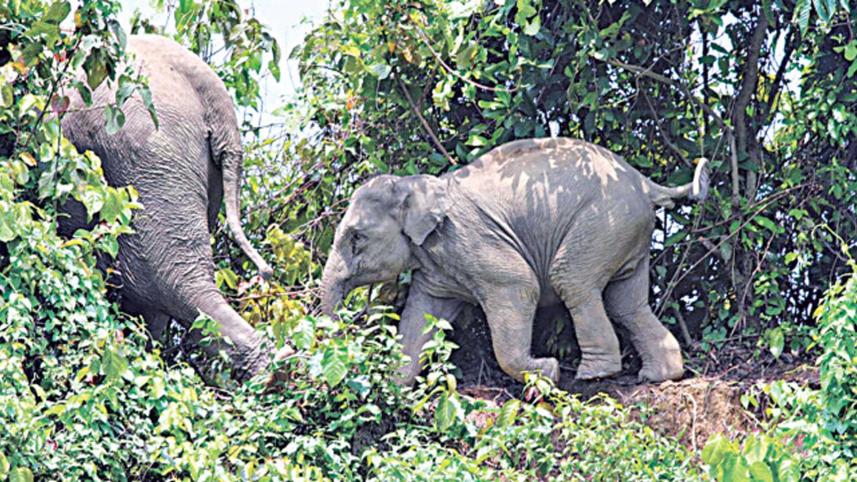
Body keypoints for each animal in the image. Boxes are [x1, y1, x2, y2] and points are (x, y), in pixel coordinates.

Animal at [320, 137, 709, 385]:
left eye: (356, 237)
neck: (415, 185)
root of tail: (645, 183)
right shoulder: (437, 265)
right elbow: (423, 315)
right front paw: (396, 387)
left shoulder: (468, 240)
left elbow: (519, 285)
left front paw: (547, 371)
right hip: (627, 230)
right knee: (627, 302)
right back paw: (658, 375)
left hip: (603, 222)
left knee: (573, 282)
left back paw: (593, 374)